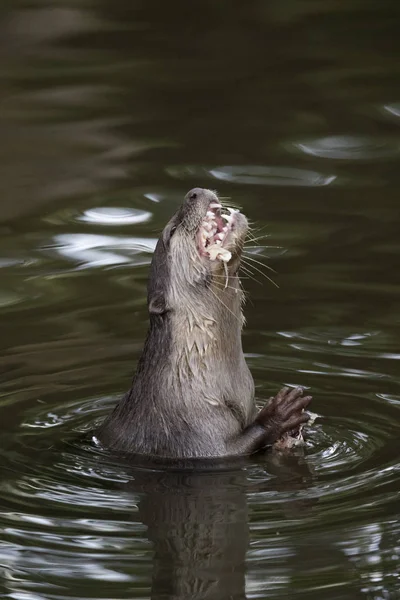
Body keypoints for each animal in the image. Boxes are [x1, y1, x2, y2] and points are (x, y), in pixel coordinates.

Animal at [98, 188, 310, 460]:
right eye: (171, 231)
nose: (194, 192)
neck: (186, 379)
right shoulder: (193, 430)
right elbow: (233, 448)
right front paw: (279, 415)